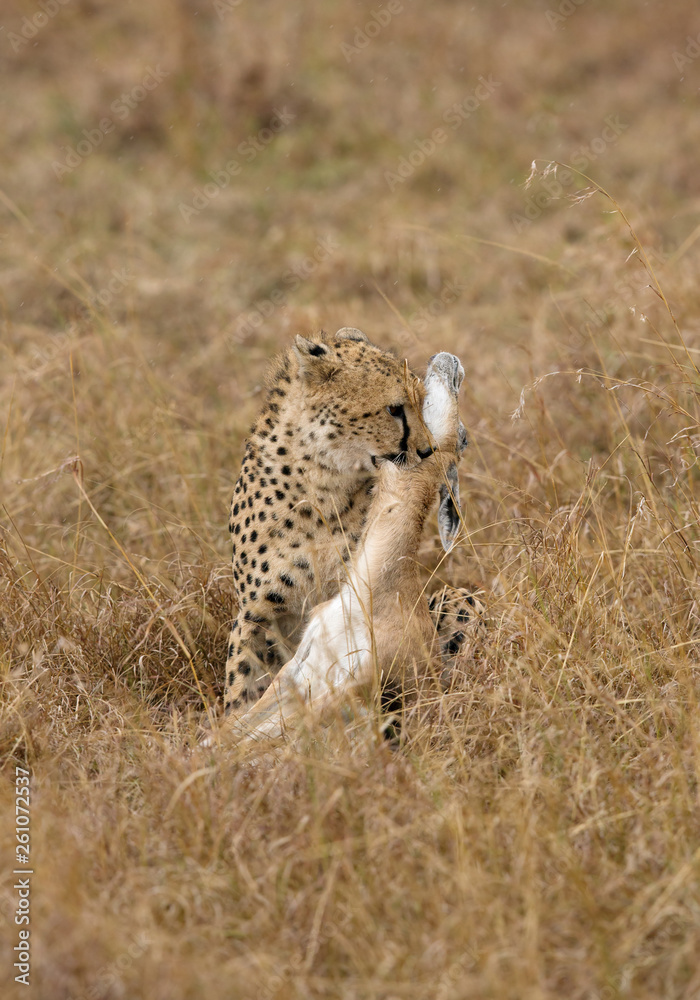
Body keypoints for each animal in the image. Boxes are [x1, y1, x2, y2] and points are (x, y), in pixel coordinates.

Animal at [223, 327, 482, 719]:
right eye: (394, 409)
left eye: (421, 402)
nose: (426, 451)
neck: (323, 483)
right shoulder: (255, 616)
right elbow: (240, 692)